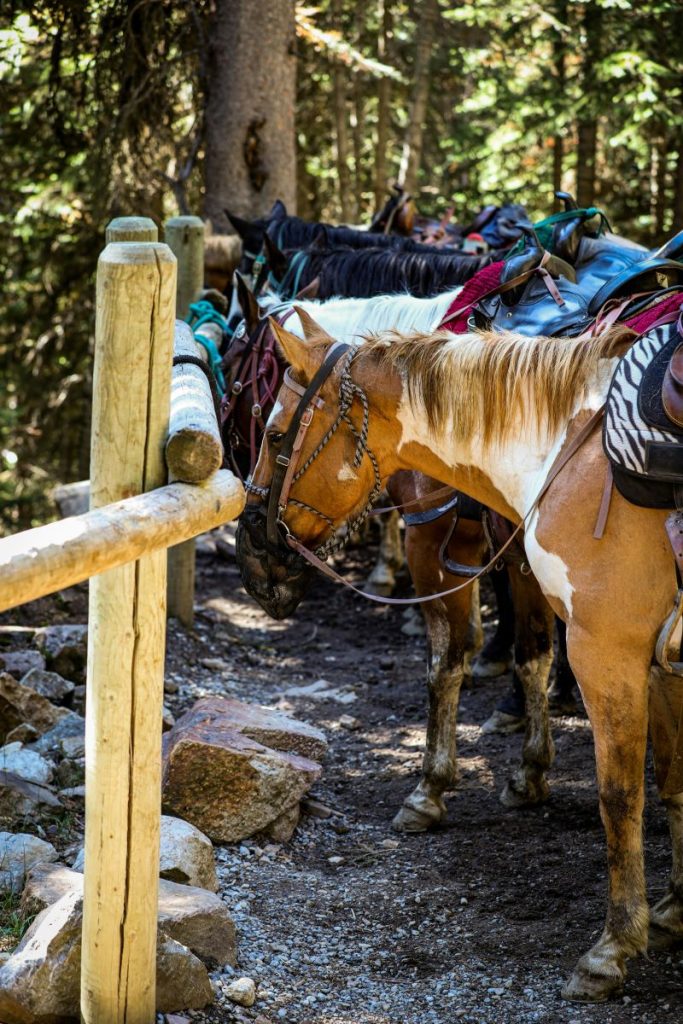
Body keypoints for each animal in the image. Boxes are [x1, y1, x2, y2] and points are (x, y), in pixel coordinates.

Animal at [236, 313, 683, 1001]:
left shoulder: (603, 648)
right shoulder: (656, 660)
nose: (250, 547)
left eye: (277, 432)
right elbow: (670, 779)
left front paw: (614, 945)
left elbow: (618, 793)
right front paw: (674, 909)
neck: (572, 452)